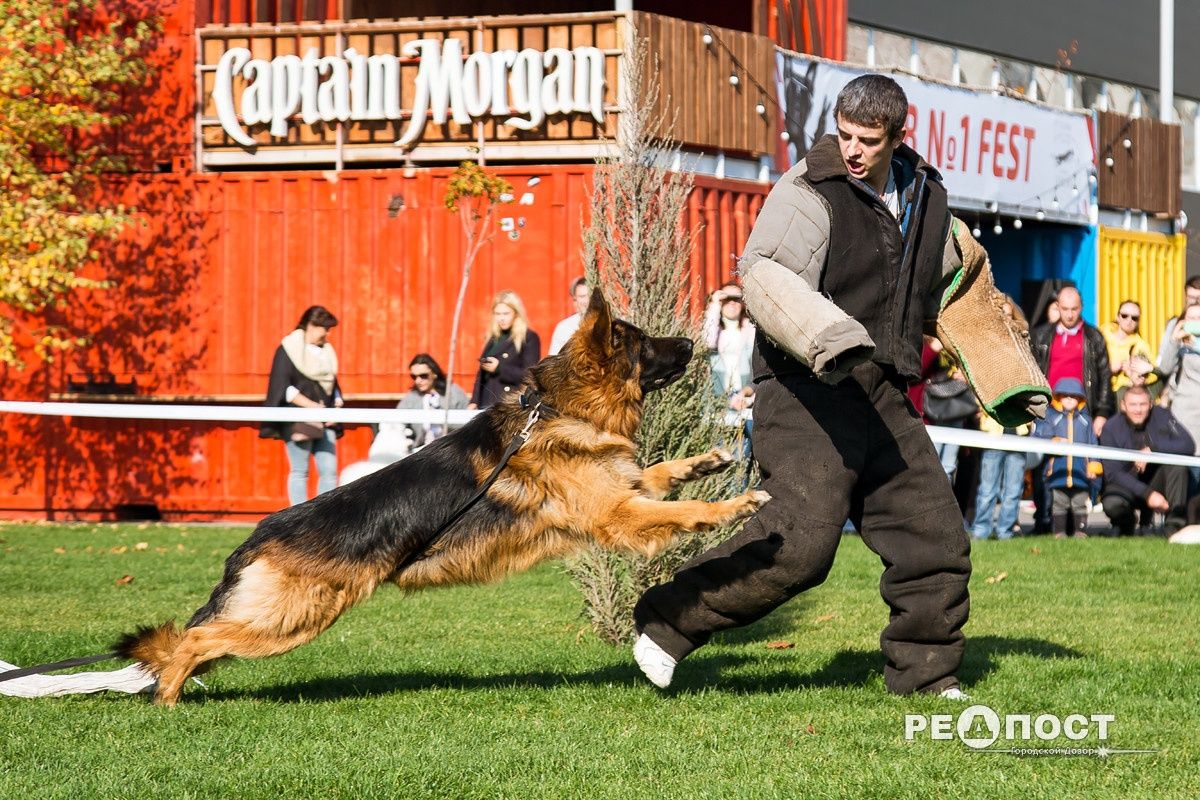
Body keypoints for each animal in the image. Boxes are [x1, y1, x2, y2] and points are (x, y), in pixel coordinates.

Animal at [119, 291, 768, 705]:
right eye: (643, 344)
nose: (695, 341)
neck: (561, 409)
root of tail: (258, 533)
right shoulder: (621, 514)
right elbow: (685, 510)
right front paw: (734, 507)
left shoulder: (626, 491)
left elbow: (665, 475)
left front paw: (707, 462)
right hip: (290, 618)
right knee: (192, 640)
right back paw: (167, 700)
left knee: (198, 642)